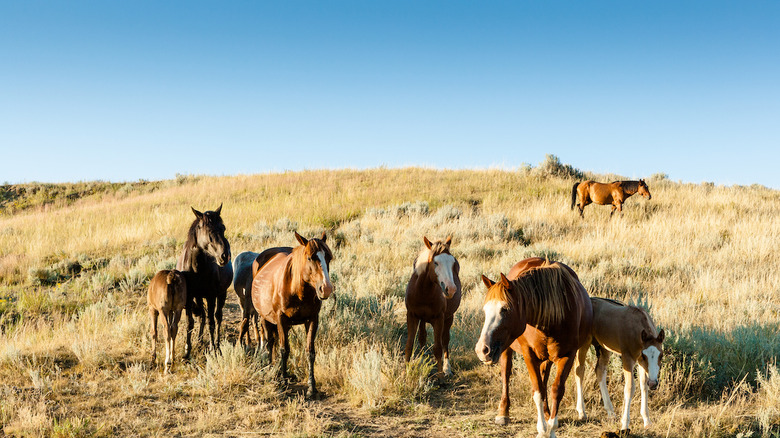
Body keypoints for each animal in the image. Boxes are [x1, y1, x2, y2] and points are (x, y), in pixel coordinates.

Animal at [177, 204, 233, 358]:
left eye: (223, 228)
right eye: (208, 230)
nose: (225, 256)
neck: (196, 268)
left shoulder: (211, 296)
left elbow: (211, 322)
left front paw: (213, 348)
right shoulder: (190, 297)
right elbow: (190, 322)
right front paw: (187, 351)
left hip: (221, 294)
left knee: (218, 317)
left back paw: (217, 344)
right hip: (198, 296)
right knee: (201, 316)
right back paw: (200, 339)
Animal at [251, 231, 334, 398]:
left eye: (328, 257)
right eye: (310, 258)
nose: (326, 288)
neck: (297, 290)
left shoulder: (312, 320)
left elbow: (310, 352)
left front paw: (311, 387)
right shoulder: (281, 320)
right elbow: (284, 350)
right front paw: (283, 383)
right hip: (265, 318)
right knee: (269, 343)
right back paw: (272, 370)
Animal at [406, 236, 460, 376]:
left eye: (453, 263)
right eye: (435, 262)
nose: (451, 289)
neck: (423, 292)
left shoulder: (439, 318)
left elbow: (438, 348)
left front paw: (440, 376)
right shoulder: (412, 316)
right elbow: (410, 345)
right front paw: (404, 372)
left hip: (449, 317)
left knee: (445, 340)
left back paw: (447, 369)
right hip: (423, 319)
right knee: (422, 337)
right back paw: (421, 360)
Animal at [472, 256, 596, 438]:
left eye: (505, 309)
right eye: (485, 310)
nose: (482, 349)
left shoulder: (568, 355)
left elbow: (556, 390)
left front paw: (551, 427)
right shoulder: (528, 354)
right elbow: (537, 390)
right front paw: (542, 428)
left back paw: (550, 413)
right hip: (507, 348)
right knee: (506, 373)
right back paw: (503, 413)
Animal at [572, 298, 664, 432]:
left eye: (661, 355)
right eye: (644, 355)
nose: (654, 384)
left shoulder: (640, 363)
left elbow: (643, 385)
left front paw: (647, 420)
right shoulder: (628, 359)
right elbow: (629, 388)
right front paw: (625, 424)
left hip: (604, 348)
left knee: (599, 371)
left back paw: (611, 413)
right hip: (585, 342)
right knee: (579, 370)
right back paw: (581, 412)